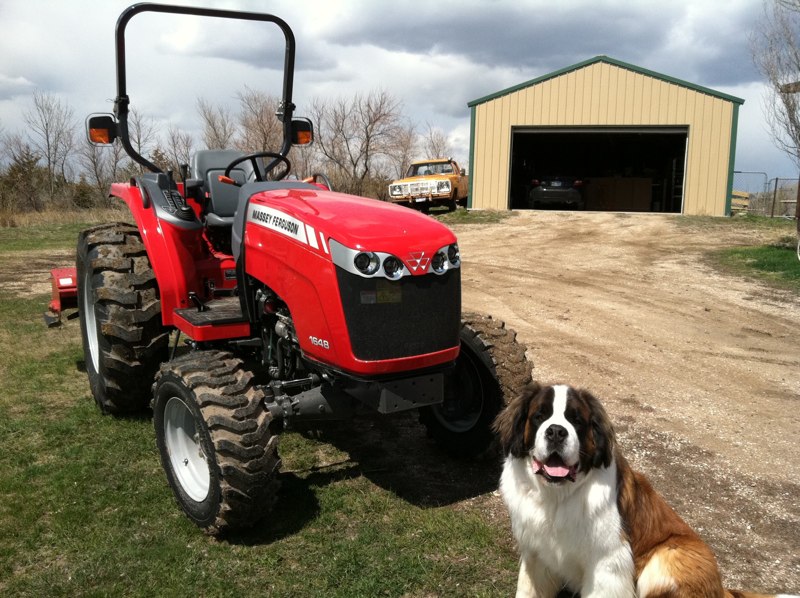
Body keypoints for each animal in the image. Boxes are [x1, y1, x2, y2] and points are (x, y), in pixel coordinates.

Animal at [494, 384, 800, 598]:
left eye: (576, 420)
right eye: (539, 416)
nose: (557, 431)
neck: (557, 497)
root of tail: (723, 589)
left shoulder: (609, 565)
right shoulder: (536, 557)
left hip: (667, 557)